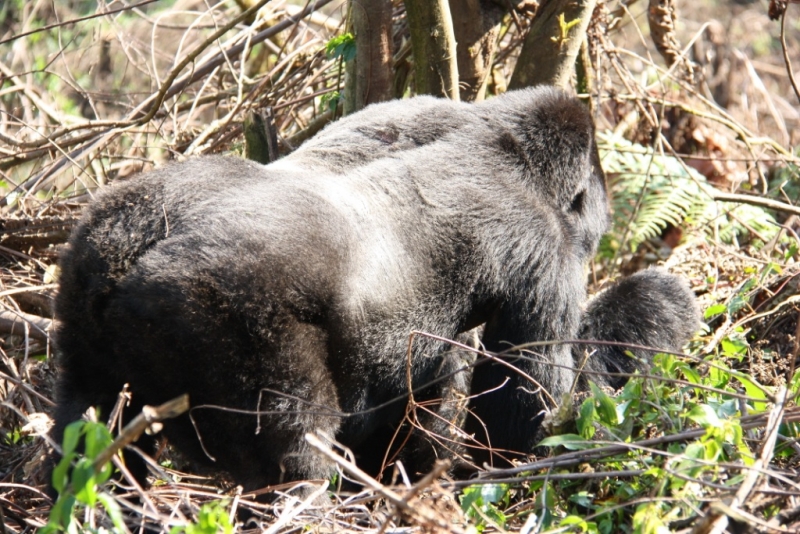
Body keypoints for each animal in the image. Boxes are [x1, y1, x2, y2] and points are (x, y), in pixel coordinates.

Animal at [53, 88, 696, 494]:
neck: (504, 144)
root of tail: (127, 256)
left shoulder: (421, 107)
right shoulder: (547, 252)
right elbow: (522, 421)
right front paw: (653, 306)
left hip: (92, 269)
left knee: (86, 433)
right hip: (217, 312)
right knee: (298, 446)